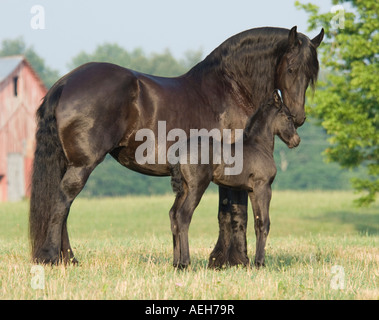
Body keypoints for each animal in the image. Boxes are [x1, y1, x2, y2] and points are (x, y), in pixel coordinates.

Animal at [29, 25, 324, 264]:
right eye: (291, 68)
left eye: (311, 75)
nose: (298, 117)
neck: (231, 87)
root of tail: (66, 82)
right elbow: (235, 212)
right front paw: (234, 260)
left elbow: (228, 212)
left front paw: (221, 260)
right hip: (83, 164)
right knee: (63, 200)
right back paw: (53, 257)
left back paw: (67, 258)